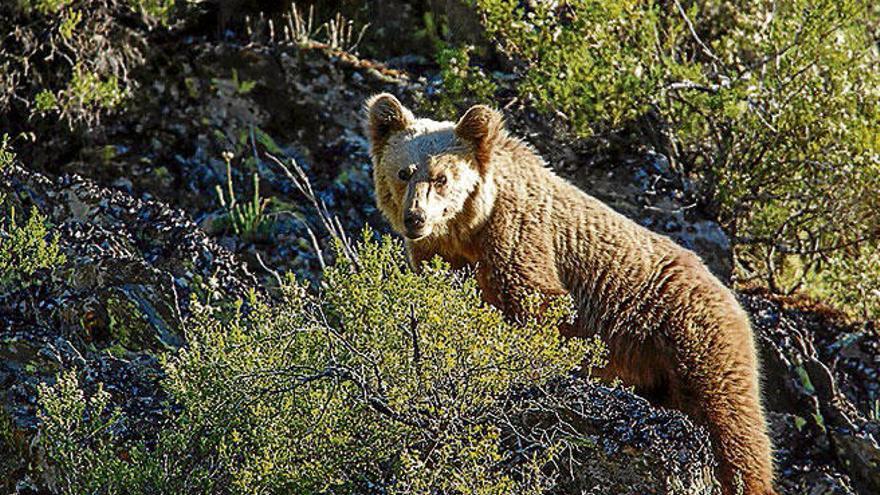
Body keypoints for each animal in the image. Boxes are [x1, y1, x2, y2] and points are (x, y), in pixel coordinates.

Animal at [364, 94, 776, 495]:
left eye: (441, 177)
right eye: (404, 172)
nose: (415, 217)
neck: (469, 229)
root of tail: (730, 295)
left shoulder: (518, 237)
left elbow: (536, 303)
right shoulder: (442, 256)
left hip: (694, 338)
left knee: (731, 423)